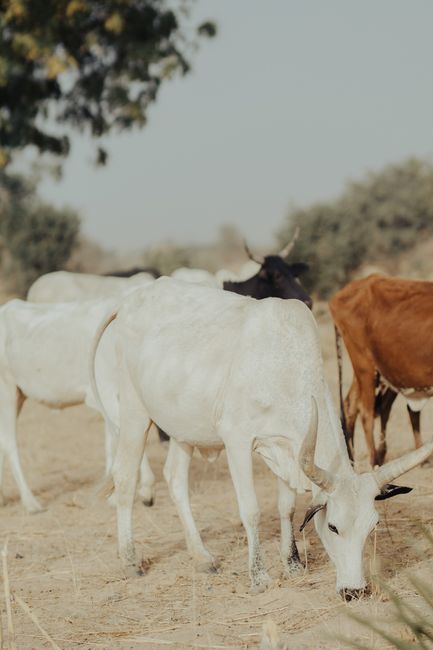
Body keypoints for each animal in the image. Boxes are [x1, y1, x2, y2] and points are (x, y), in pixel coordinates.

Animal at [0, 298, 155, 512]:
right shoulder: (106, 391)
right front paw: (144, 490)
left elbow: (112, 439)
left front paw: (112, 494)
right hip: (6, 389)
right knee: (9, 442)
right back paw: (31, 503)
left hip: (18, 394)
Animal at [330, 274, 433, 467]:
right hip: (365, 367)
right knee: (366, 413)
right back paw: (374, 462)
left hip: (373, 371)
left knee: (351, 406)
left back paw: (354, 462)